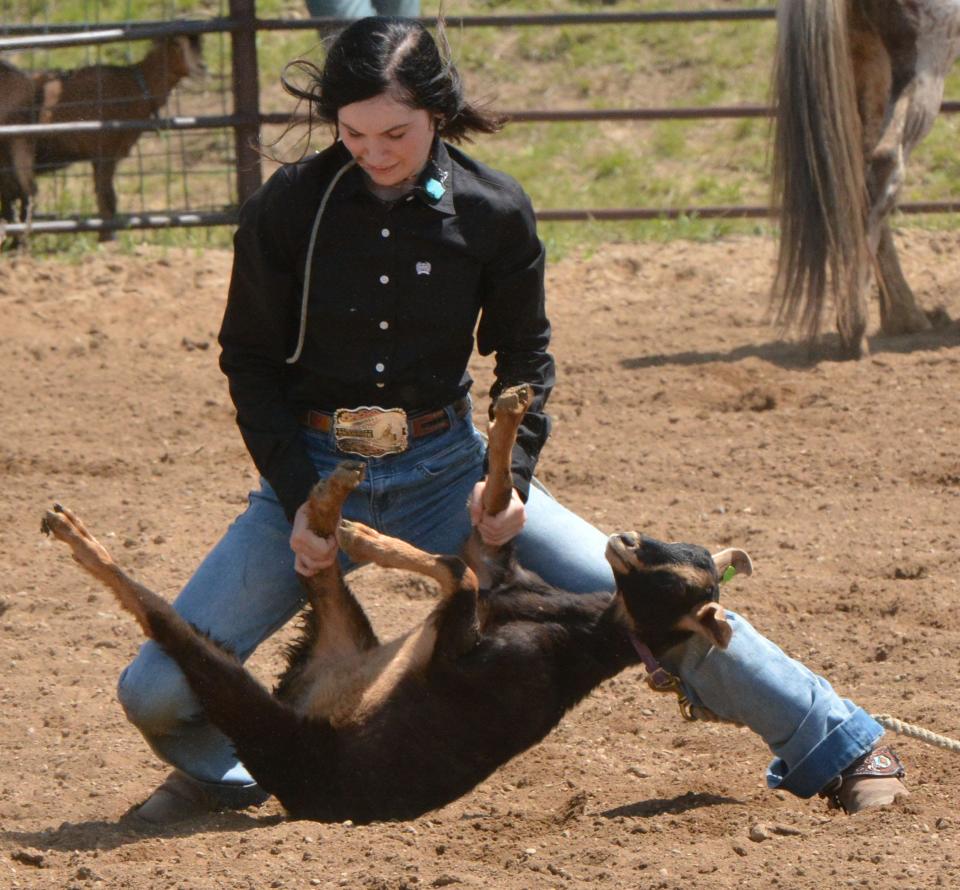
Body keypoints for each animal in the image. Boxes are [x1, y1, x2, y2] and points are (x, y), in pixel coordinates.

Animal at [39, 386, 752, 824]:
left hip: (250, 705)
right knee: (317, 562)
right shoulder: (495, 566)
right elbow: (491, 503)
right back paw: (331, 498)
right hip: (334, 626)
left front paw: (369, 537)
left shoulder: (467, 641)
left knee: (161, 615)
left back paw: (81, 538)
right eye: (678, 548)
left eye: (682, 580)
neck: (570, 630)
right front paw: (510, 408)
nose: (625, 540)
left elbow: (454, 571)